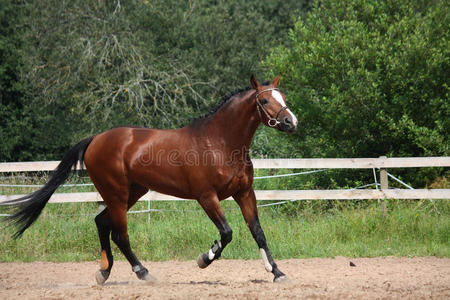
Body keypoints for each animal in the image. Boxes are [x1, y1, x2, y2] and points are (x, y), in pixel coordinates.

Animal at [5, 75, 298, 284]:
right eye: (264, 101)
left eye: (282, 96)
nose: (290, 121)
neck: (220, 143)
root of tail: (96, 139)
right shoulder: (207, 197)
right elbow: (226, 233)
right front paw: (204, 258)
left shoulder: (244, 193)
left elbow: (257, 232)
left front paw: (277, 273)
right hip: (117, 194)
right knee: (119, 234)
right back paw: (143, 272)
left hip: (133, 192)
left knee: (102, 223)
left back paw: (104, 272)